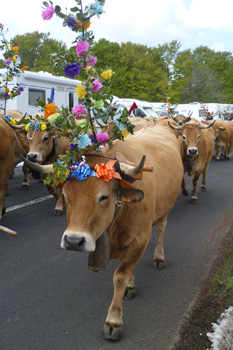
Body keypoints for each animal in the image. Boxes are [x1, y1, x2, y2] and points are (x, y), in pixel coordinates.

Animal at [23, 123, 184, 340]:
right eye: (65, 195)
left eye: (104, 197)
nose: (73, 241)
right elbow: (125, 271)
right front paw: (130, 286)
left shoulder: (140, 239)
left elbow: (120, 275)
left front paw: (114, 321)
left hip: (166, 208)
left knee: (161, 229)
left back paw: (159, 257)